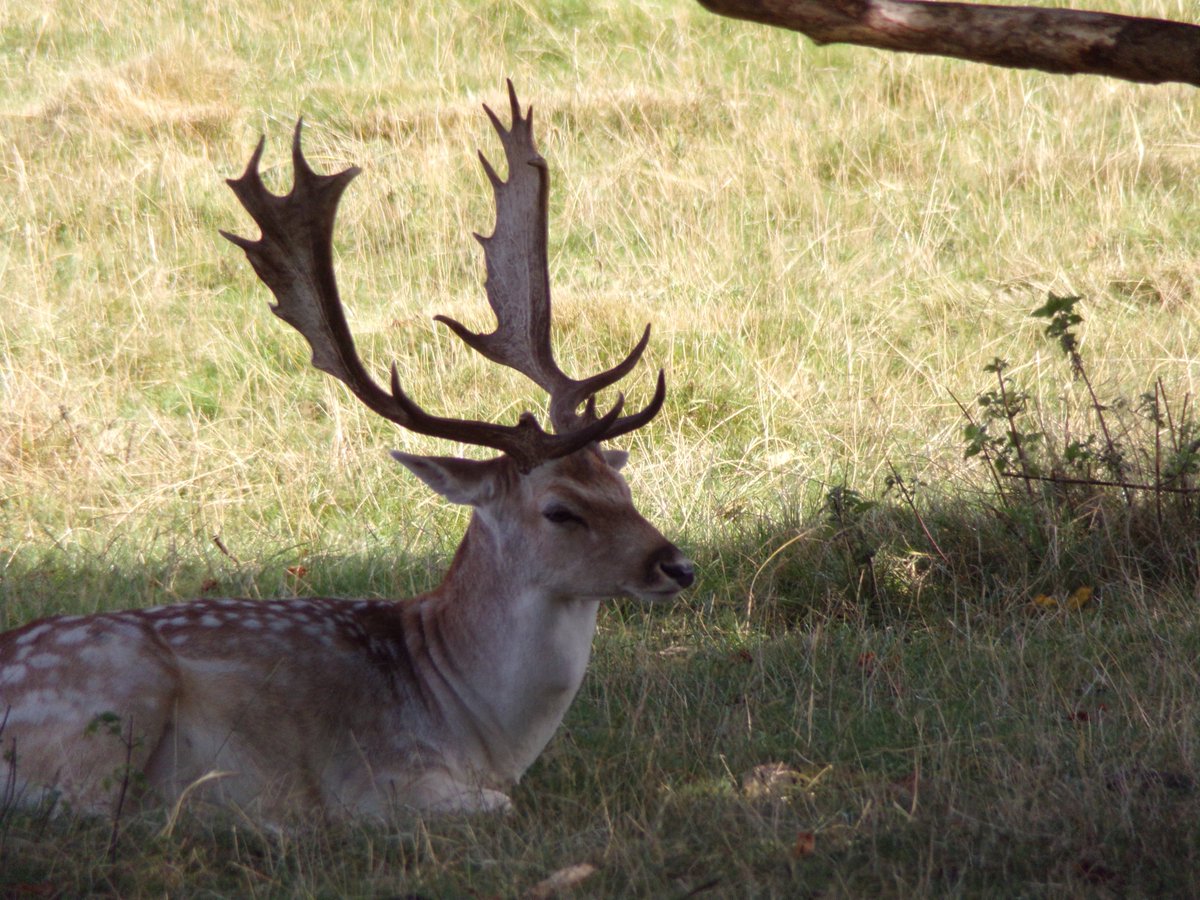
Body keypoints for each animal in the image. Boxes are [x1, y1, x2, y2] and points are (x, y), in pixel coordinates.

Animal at [0, 83, 693, 822]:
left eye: (624, 489)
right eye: (560, 510)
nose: (678, 565)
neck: (481, 732)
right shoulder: (377, 781)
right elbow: (495, 808)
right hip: (117, 693)